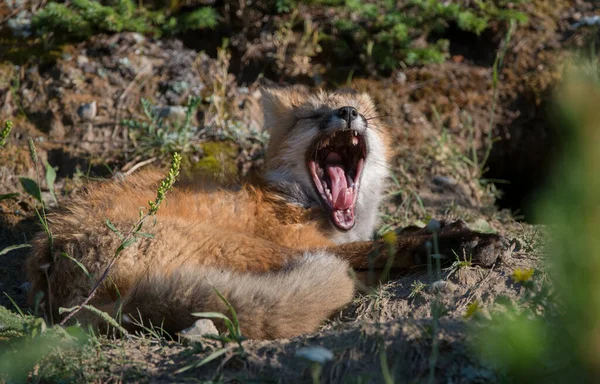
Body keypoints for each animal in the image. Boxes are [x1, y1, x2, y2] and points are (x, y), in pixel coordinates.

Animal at [28, 87, 506, 340]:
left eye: (364, 115)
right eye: (315, 115)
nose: (348, 113)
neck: (295, 200)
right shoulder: (303, 240)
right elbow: (386, 243)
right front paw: (458, 237)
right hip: (256, 249)